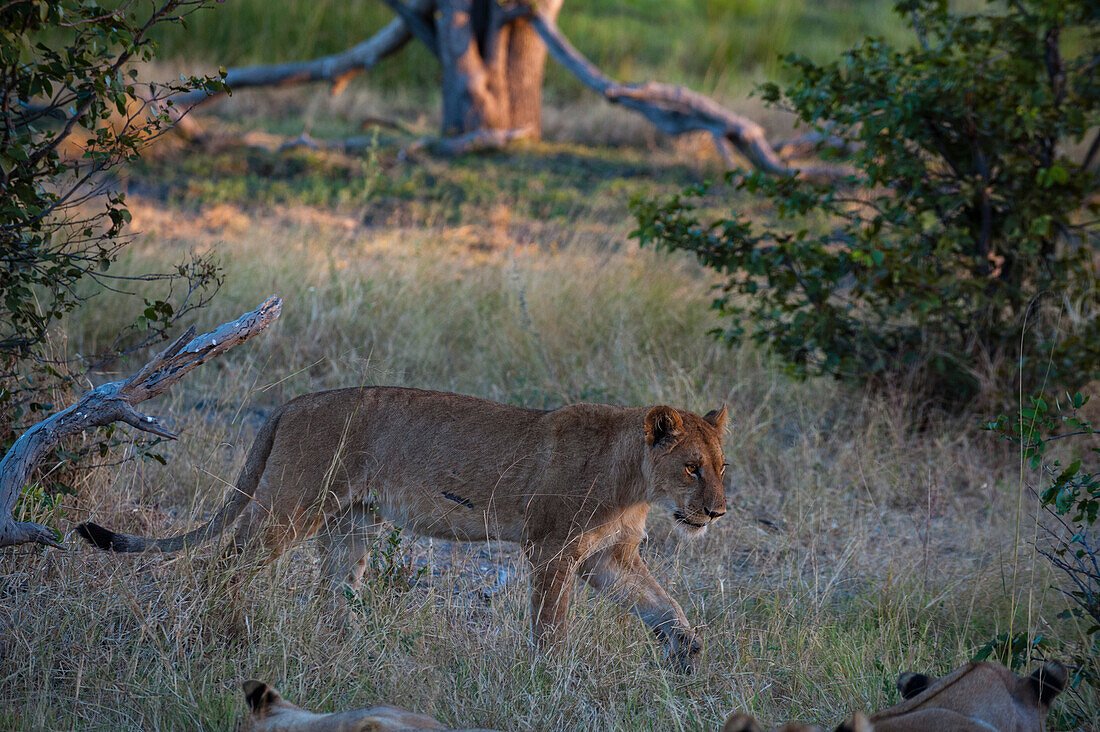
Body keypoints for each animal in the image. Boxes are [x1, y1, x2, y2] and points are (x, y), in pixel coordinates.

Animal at [77, 385, 730, 669]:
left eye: (721, 467)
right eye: (691, 468)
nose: (718, 512)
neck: (634, 482)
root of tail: (292, 402)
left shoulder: (607, 558)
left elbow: (663, 605)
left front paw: (688, 655)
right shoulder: (551, 551)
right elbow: (551, 628)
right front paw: (548, 678)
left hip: (351, 525)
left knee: (333, 596)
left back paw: (344, 654)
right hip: (292, 504)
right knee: (227, 562)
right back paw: (224, 638)